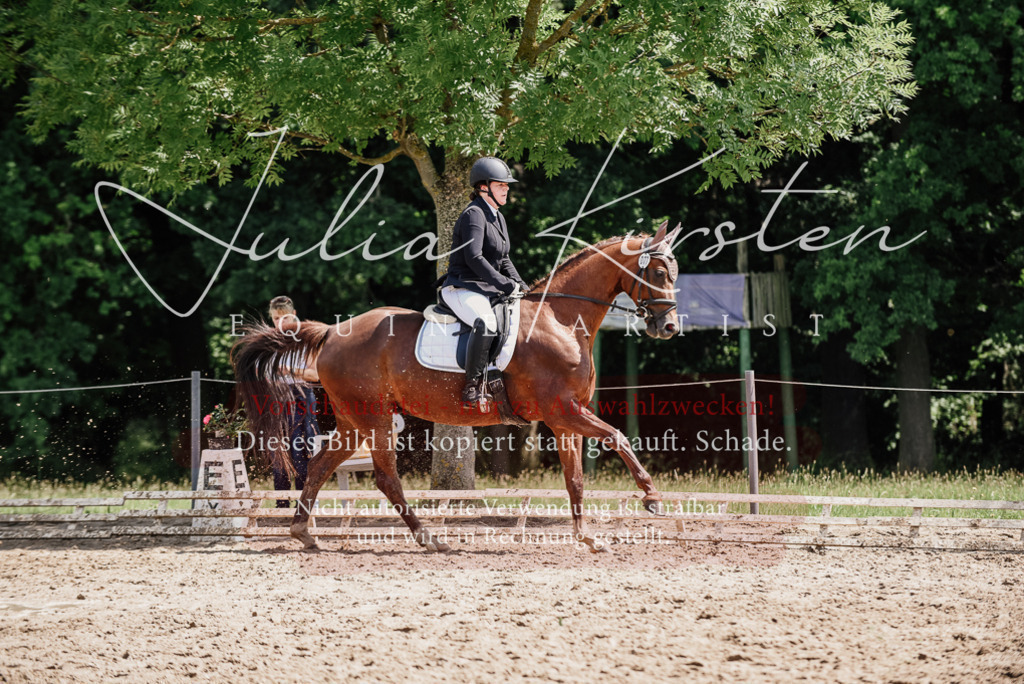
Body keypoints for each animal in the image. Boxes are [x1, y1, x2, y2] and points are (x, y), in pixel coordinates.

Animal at [232, 222, 682, 553]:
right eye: (659, 273)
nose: (669, 328)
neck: (560, 319)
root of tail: (330, 333)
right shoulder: (564, 410)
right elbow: (618, 437)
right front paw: (652, 498)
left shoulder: (564, 420)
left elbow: (575, 479)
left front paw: (587, 538)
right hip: (374, 416)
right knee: (385, 478)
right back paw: (429, 539)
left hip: (352, 419)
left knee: (321, 465)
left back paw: (304, 534)